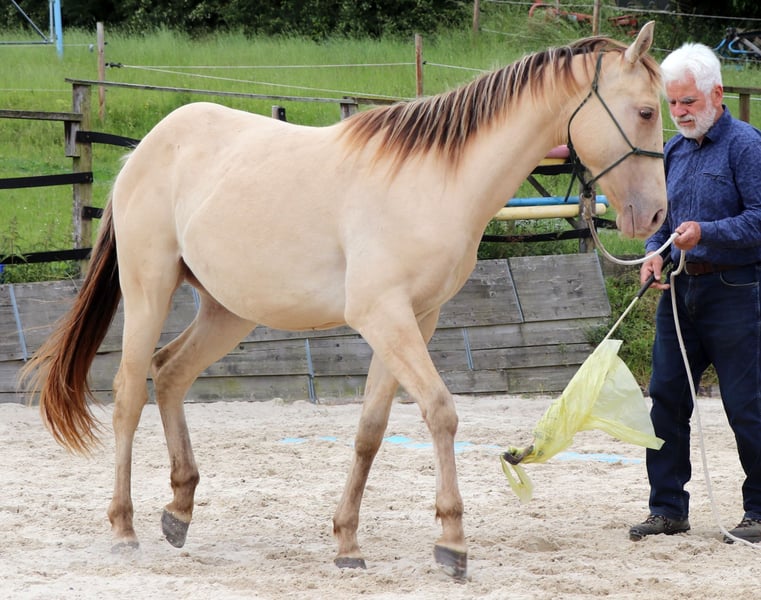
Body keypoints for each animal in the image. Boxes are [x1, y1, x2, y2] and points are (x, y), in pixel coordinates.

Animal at [21, 22, 665, 580]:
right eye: (646, 111)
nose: (656, 216)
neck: (436, 180)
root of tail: (145, 149)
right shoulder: (383, 316)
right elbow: (440, 411)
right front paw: (452, 542)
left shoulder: (415, 321)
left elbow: (371, 431)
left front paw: (348, 543)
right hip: (149, 288)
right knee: (130, 391)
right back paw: (123, 530)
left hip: (228, 310)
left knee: (171, 373)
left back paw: (178, 513)